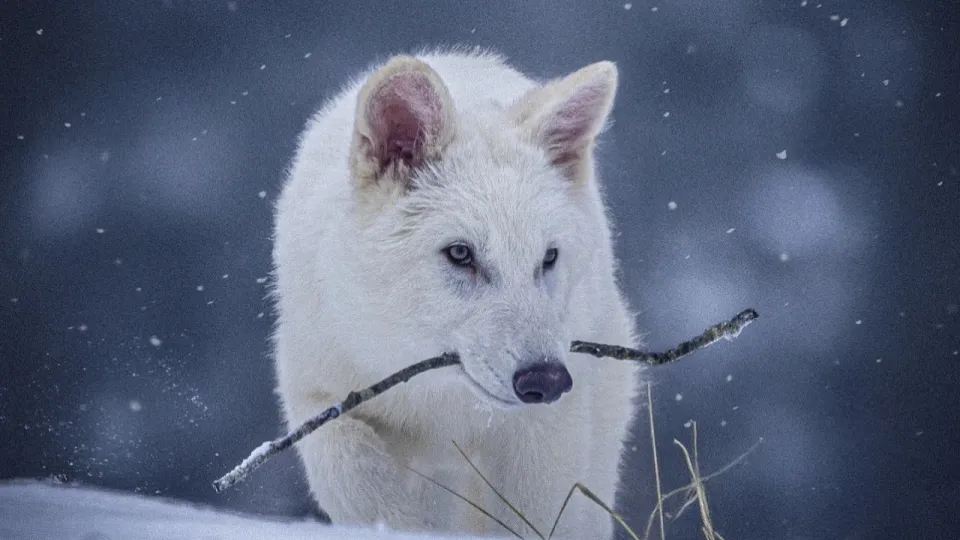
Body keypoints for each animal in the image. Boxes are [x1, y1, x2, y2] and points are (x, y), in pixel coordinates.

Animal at [271, 46, 643, 539]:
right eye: (460, 253)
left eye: (548, 257)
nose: (546, 380)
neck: (439, 398)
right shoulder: (318, 396)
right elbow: (361, 485)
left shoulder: (543, 432)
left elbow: (533, 518)